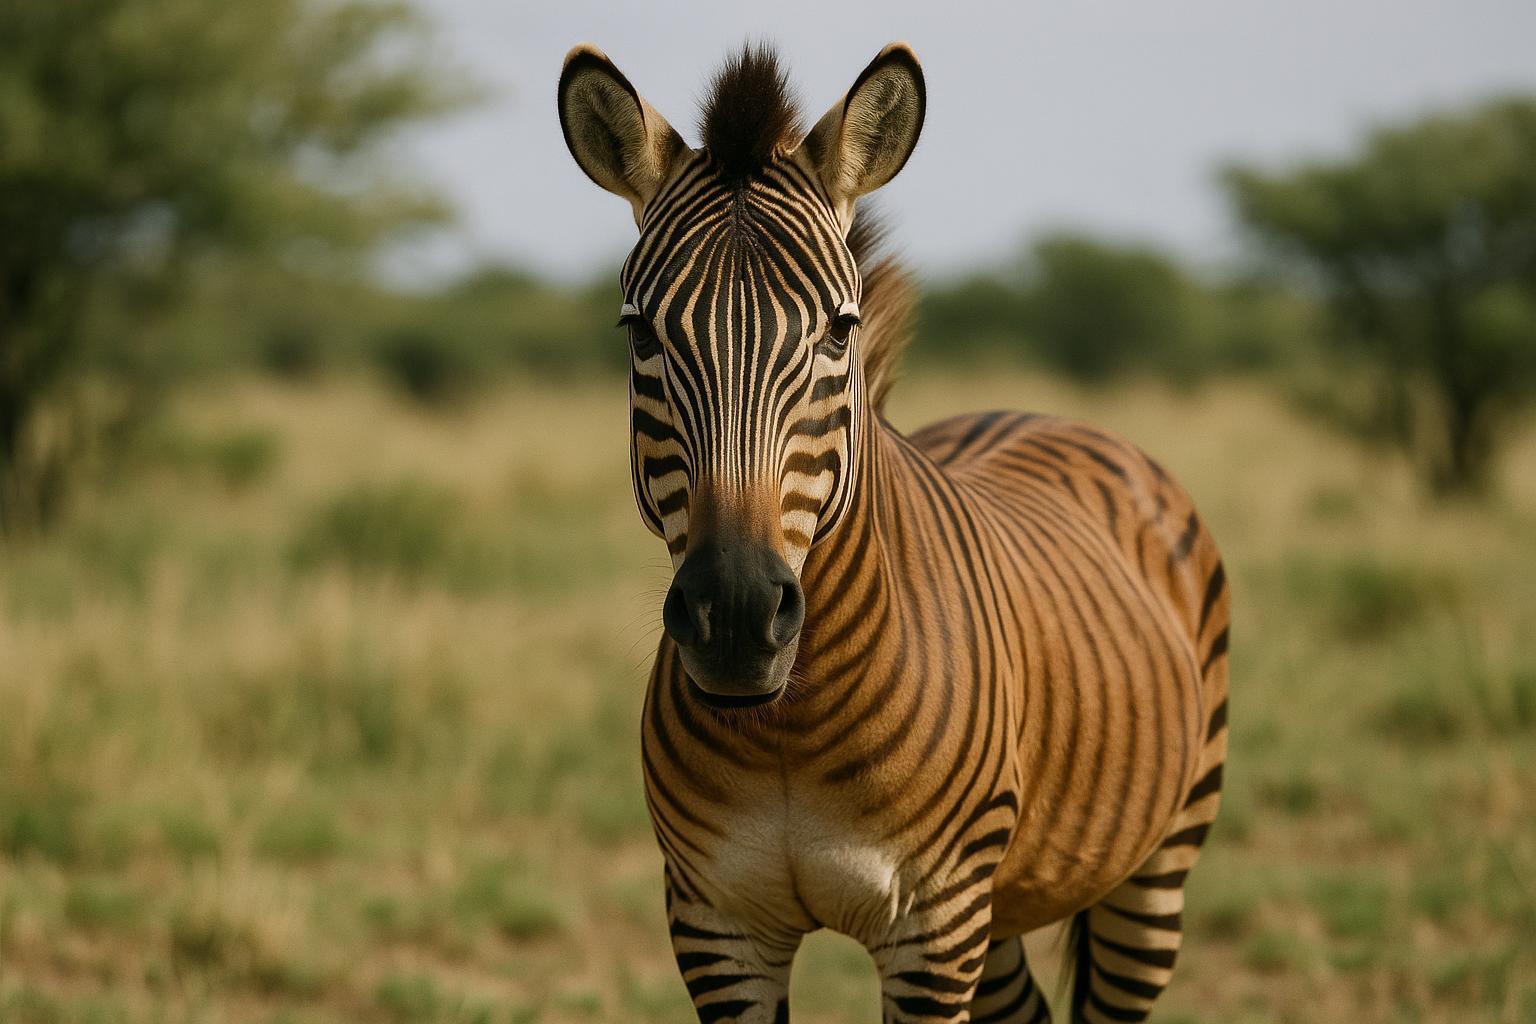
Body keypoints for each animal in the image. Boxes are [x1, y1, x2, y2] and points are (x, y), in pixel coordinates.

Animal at [556, 41, 1230, 1024]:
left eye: (841, 329)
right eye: (639, 335)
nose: (735, 617)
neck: (787, 728)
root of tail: (1035, 410)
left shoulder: (933, 931)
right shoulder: (716, 925)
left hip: (1157, 863)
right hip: (1004, 904)